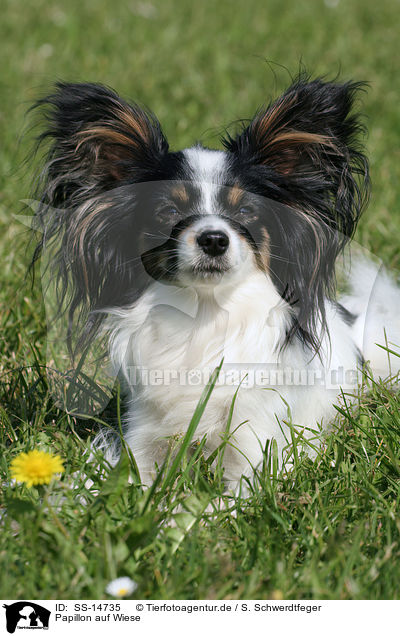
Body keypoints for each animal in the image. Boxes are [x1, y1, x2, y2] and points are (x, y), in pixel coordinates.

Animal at [31, 77, 400, 490]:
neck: (204, 316)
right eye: (168, 212)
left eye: (246, 210)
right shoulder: (142, 444)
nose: (213, 239)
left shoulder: (258, 456)